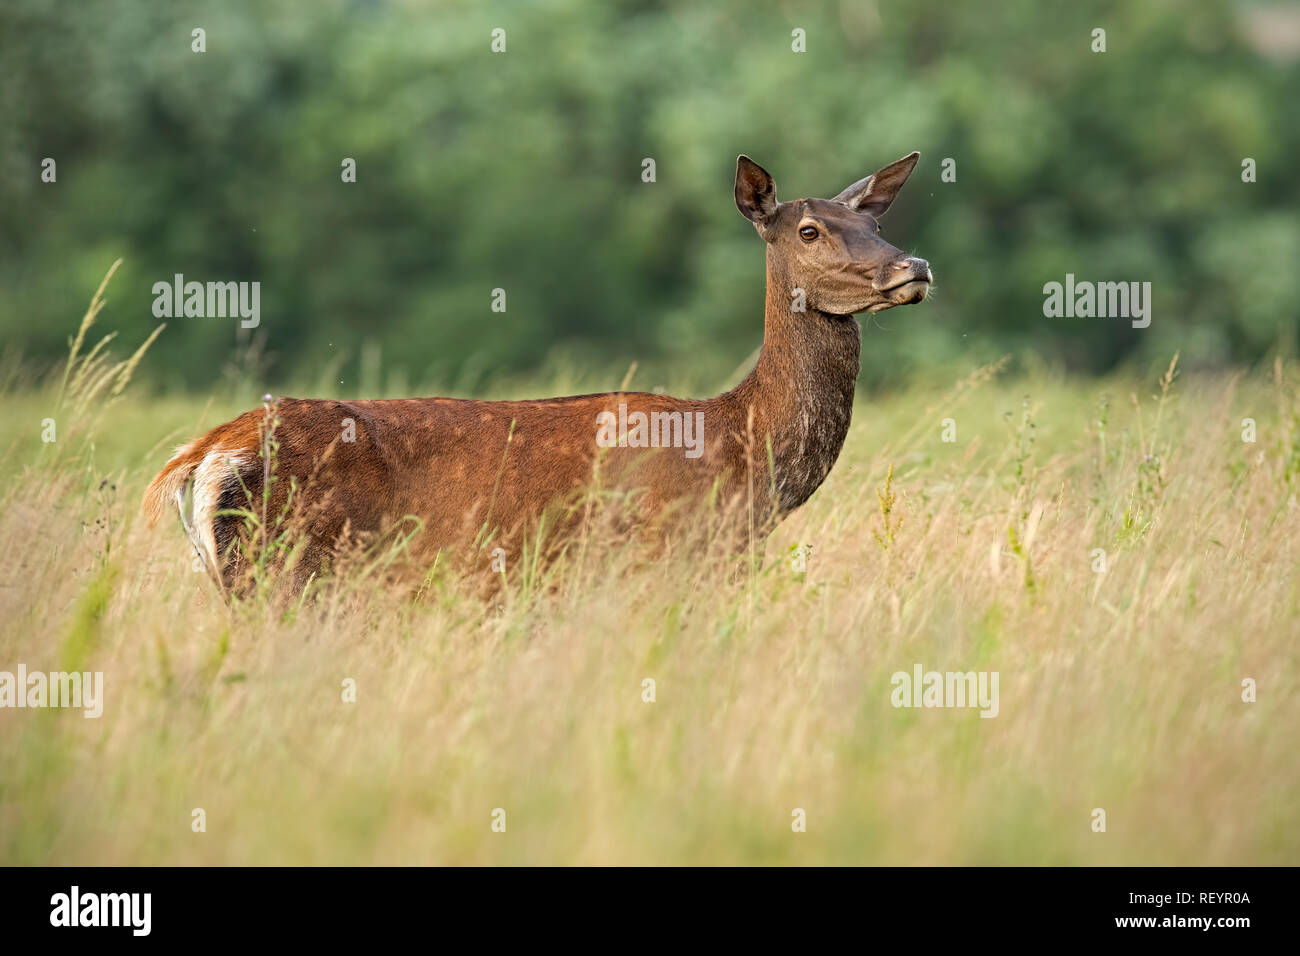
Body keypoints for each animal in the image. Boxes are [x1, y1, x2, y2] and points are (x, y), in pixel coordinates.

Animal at [142, 153, 932, 593]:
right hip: (286, 571)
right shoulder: (666, 559)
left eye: (878, 225)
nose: (912, 267)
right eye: (809, 230)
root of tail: (207, 451)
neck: (747, 455)